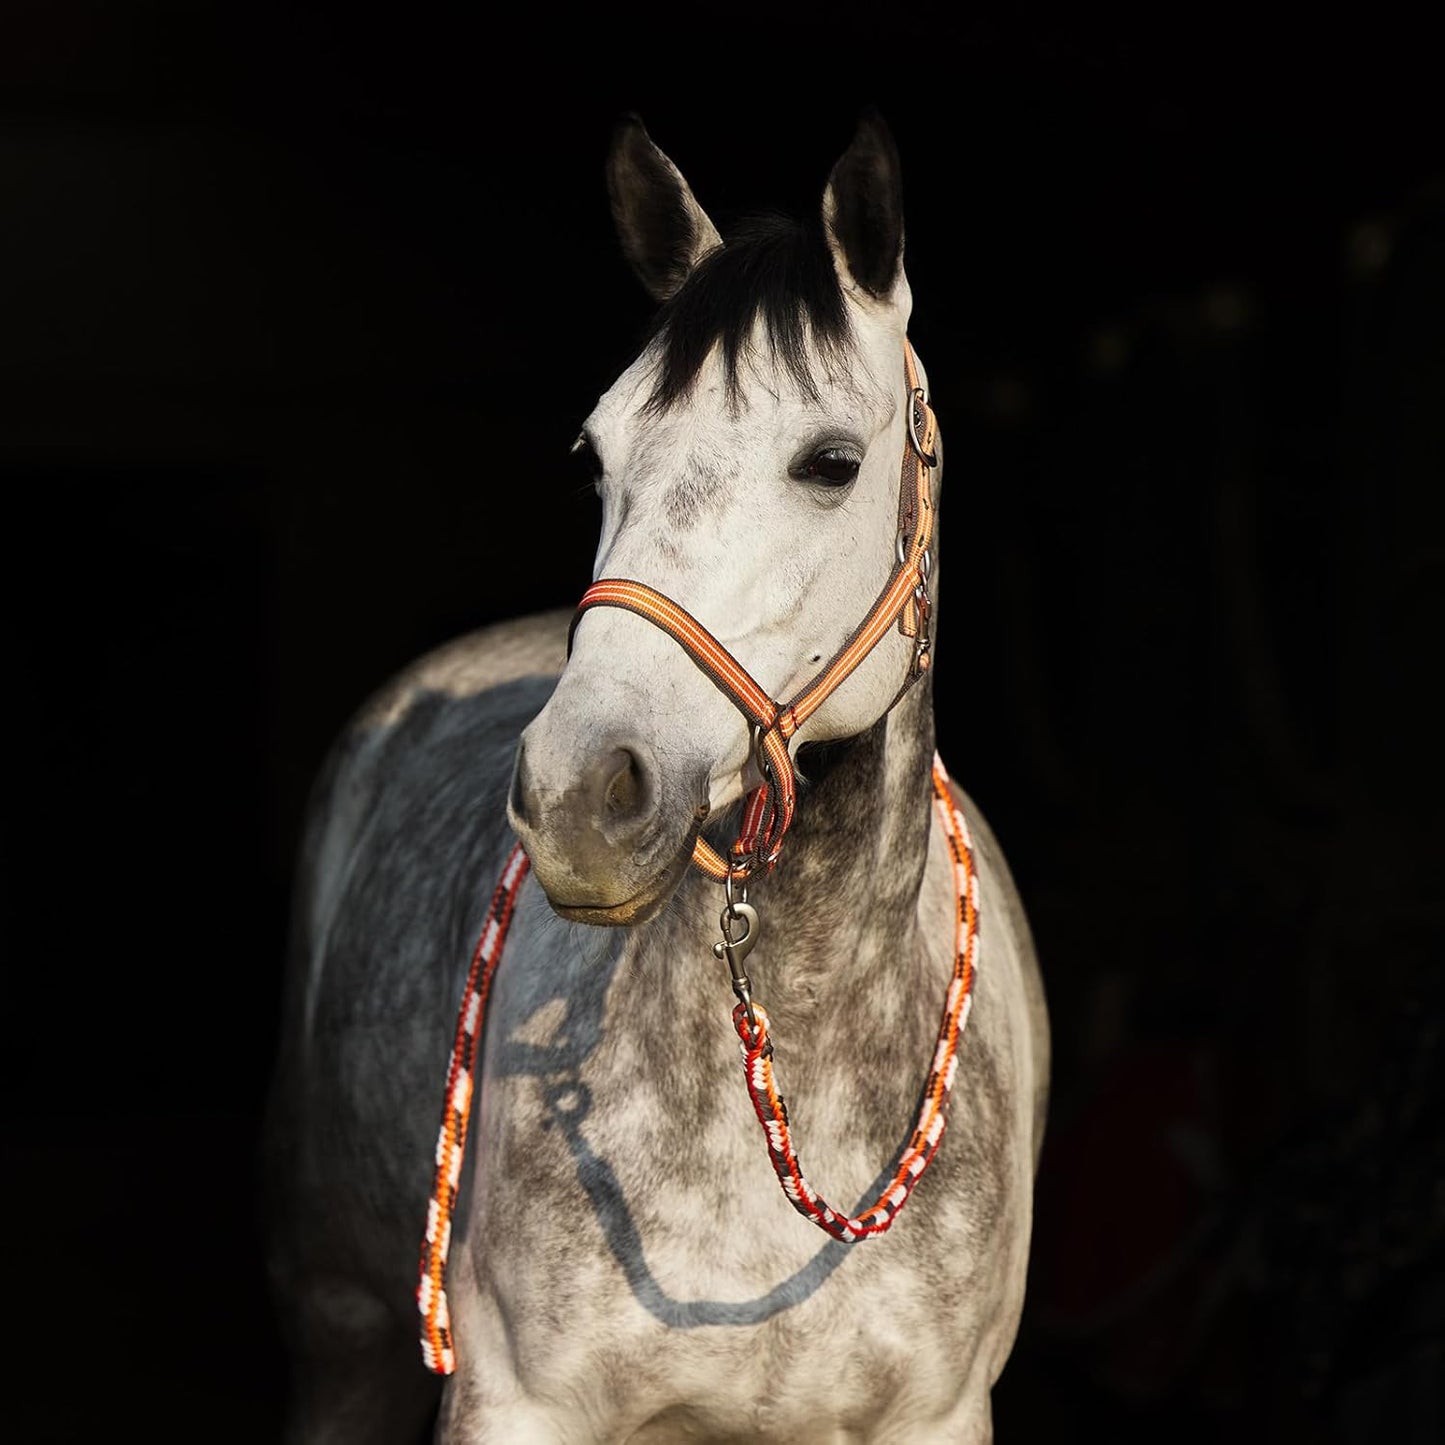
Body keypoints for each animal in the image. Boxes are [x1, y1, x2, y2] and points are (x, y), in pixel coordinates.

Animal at [266, 112, 1050, 1444]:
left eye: (829, 462)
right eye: (597, 451)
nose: (581, 793)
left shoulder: (934, 1414)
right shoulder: (515, 1403)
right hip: (337, 1329)